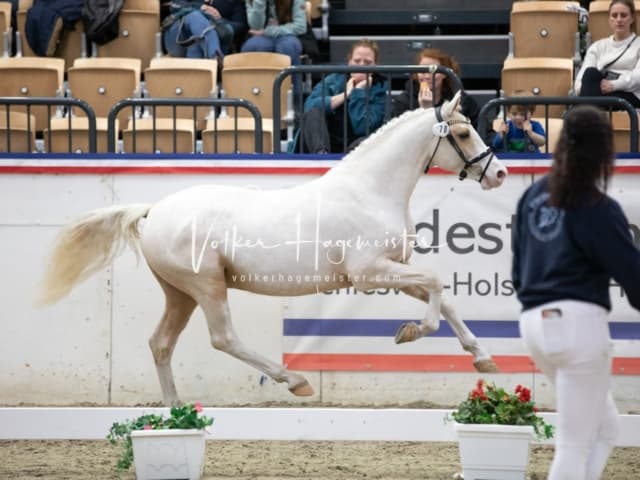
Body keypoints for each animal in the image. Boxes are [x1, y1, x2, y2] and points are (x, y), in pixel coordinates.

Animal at [41, 93, 510, 404]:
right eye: (463, 132)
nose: (499, 174)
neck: (369, 191)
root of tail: (153, 211)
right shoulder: (369, 273)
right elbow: (436, 287)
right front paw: (411, 331)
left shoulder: (390, 270)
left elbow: (443, 297)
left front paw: (484, 359)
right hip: (206, 286)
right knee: (223, 338)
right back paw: (294, 380)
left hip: (180, 293)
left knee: (161, 343)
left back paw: (174, 411)